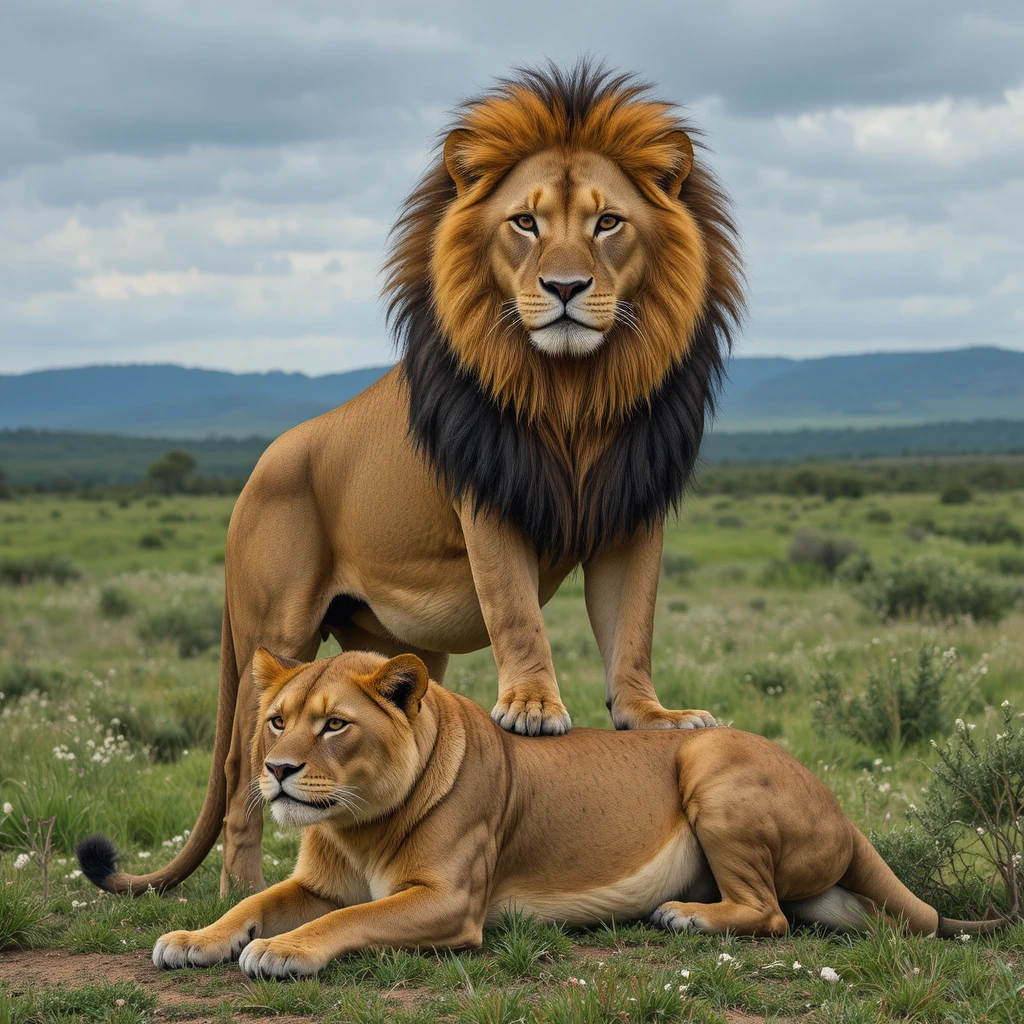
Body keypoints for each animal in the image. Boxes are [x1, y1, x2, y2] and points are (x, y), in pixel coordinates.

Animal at [78, 650, 1000, 978]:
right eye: (276, 720)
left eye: (334, 724)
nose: (275, 772)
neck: (358, 819)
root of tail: (841, 806)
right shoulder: (316, 881)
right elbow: (254, 902)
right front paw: (193, 939)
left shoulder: (450, 903)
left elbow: (347, 921)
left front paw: (280, 953)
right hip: (834, 899)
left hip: (706, 761)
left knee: (767, 914)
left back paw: (685, 916)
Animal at [81, 61, 744, 896]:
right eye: (524, 223)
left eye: (607, 223)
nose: (563, 288)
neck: (575, 393)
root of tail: (256, 472)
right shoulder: (487, 505)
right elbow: (516, 612)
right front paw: (533, 708)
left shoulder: (631, 510)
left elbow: (633, 629)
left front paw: (650, 717)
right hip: (273, 635)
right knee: (241, 779)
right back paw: (245, 893)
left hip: (402, 656)